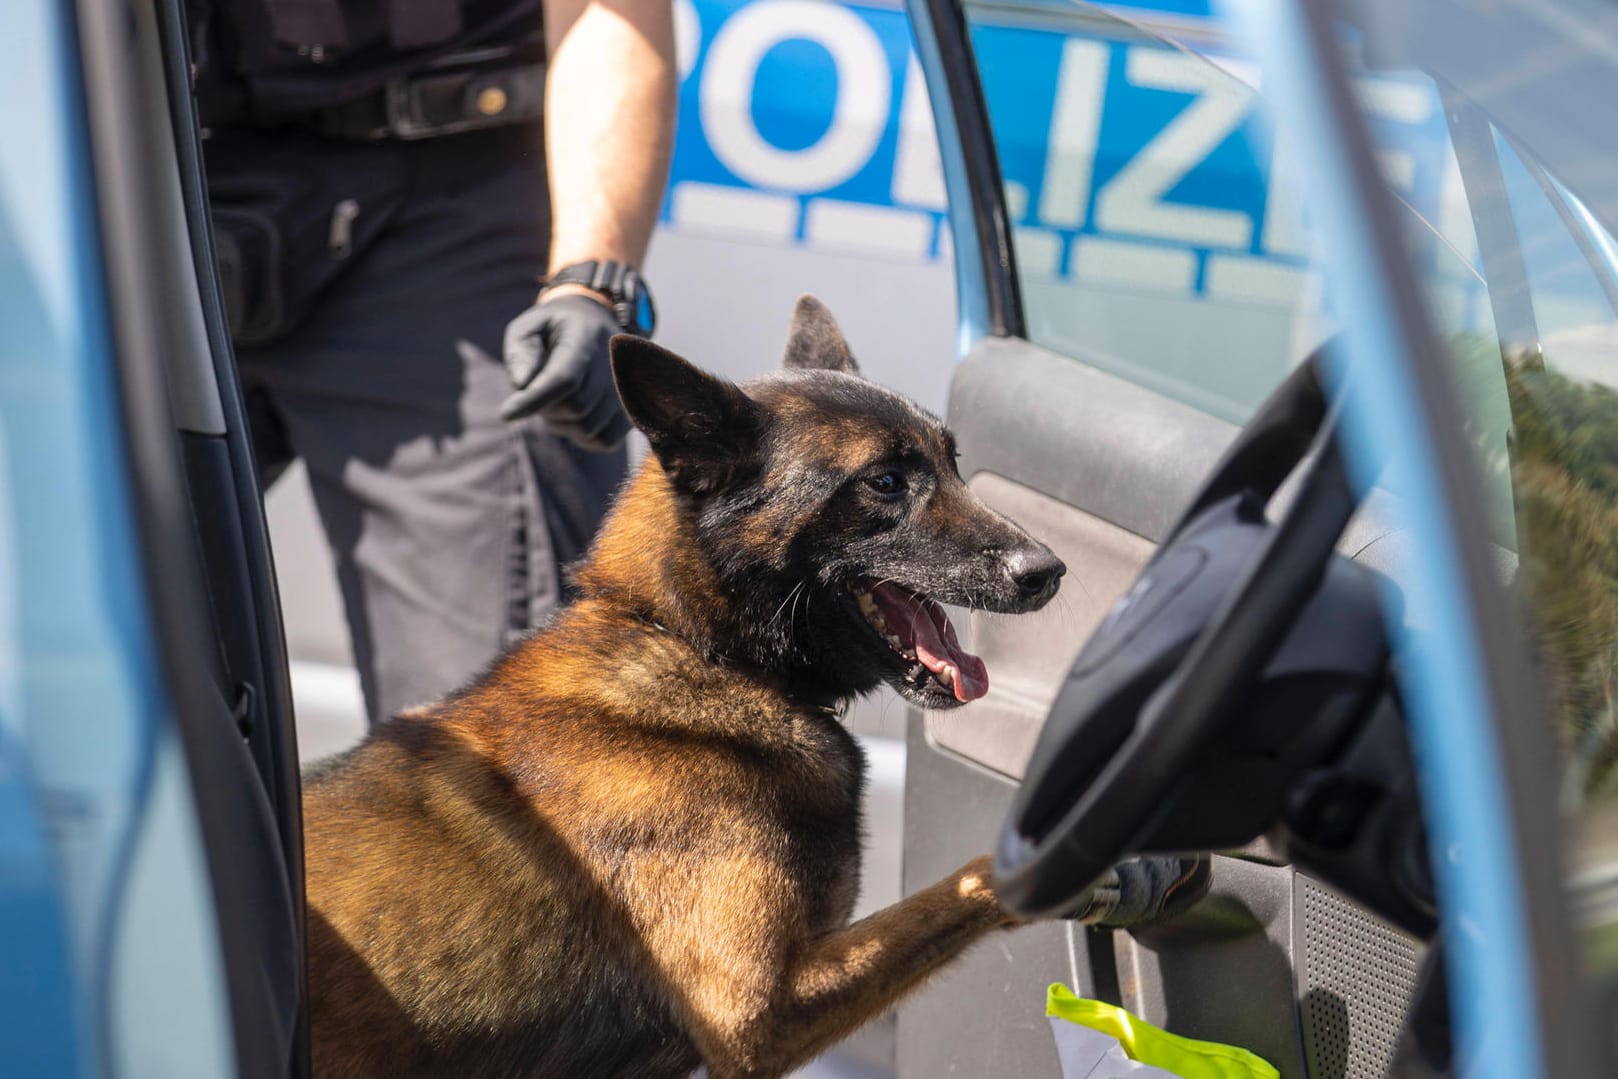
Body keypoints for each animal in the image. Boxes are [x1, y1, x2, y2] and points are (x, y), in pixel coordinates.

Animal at [304, 297, 1067, 1079]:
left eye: (953, 463)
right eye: (885, 481)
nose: (1047, 570)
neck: (699, 651)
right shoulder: (755, 1016)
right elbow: (967, 881)